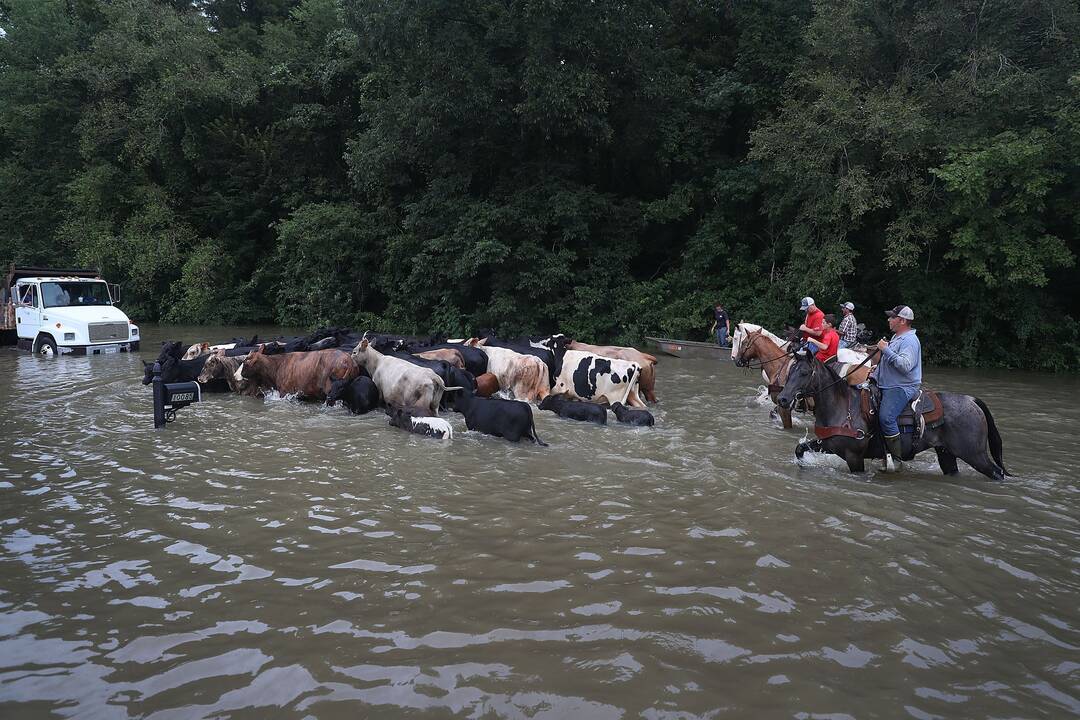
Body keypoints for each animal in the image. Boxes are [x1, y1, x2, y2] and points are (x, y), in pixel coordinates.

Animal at [777, 349, 1010, 481]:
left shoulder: (854, 457)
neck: (843, 406)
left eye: (804, 373)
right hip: (947, 453)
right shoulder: (828, 443)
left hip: (975, 455)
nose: (782, 399)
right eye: (790, 372)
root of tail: (971, 400)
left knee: (996, 473)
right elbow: (800, 449)